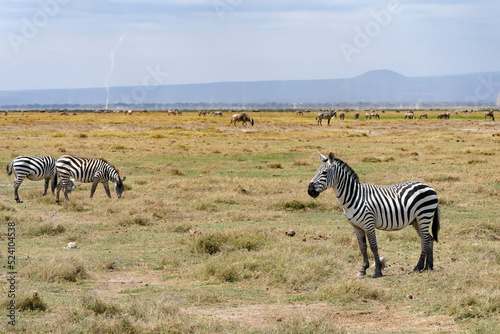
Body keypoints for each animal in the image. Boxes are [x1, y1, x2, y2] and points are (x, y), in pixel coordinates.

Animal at [306, 153, 440, 278]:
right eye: (316, 172)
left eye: (325, 172)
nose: (310, 190)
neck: (354, 196)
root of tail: (429, 187)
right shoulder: (356, 226)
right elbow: (362, 247)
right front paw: (362, 269)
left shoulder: (368, 223)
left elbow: (373, 246)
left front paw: (377, 271)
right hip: (416, 220)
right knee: (428, 238)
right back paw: (428, 266)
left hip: (424, 215)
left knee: (425, 239)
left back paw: (418, 266)